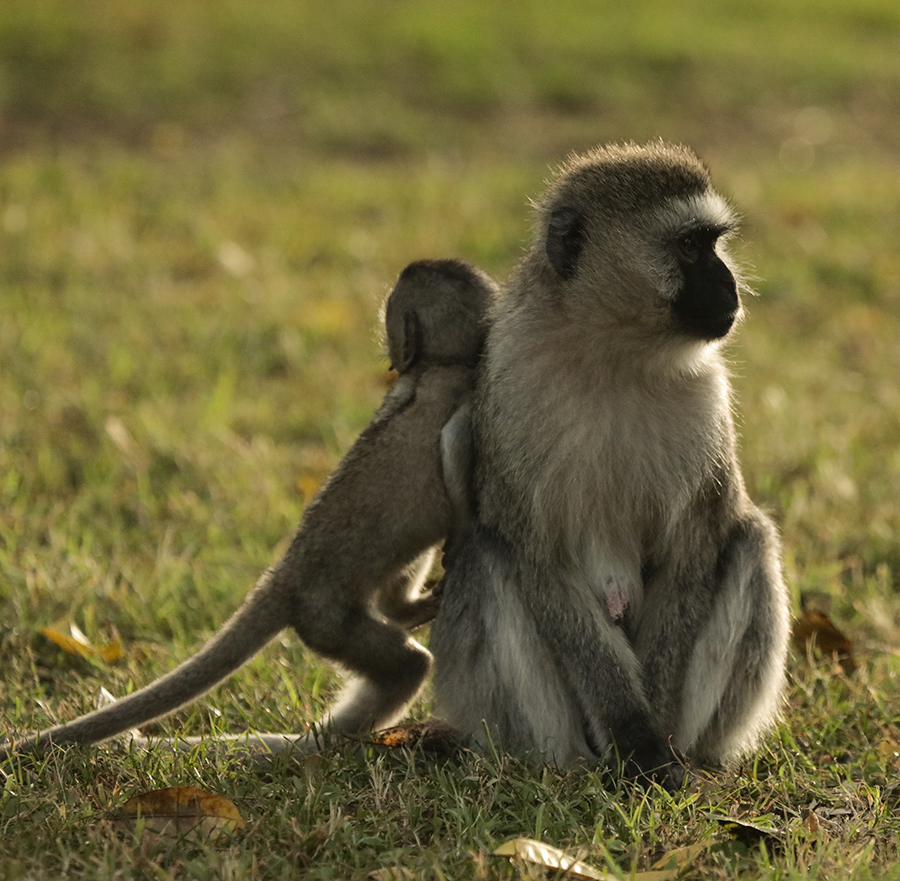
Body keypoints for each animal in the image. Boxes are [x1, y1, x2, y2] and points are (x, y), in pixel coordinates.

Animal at [3, 258, 496, 760]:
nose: (393, 362)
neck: (444, 364)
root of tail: (285, 576)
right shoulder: (464, 390)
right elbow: (451, 447)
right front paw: (462, 531)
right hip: (326, 617)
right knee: (407, 664)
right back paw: (322, 740)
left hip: (327, 615)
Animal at [428, 143, 788, 792]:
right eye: (689, 247)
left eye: (713, 244)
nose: (730, 284)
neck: (611, 355)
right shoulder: (512, 383)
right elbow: (538, 557)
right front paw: (635, 735)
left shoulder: (707, 396)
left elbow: (691, 552)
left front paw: (657, 738)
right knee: (491, 551)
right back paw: (567, 766)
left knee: (747, 536)